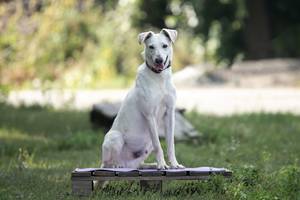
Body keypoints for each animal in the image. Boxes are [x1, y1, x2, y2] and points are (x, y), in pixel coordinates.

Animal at [101, 28, 183, 169]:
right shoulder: (150, 115)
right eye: (151, 47)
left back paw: (149, 165)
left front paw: (174, 164)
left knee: (137, 164)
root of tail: (126, 163)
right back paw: (117, 165)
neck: (159, 78)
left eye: (164, 46)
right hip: (115, 137)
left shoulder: (169, 113)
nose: (159, 60)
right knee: (109, 163)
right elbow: (158, 146)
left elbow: (170, 144)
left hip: (146, 145)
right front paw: (162, 165)